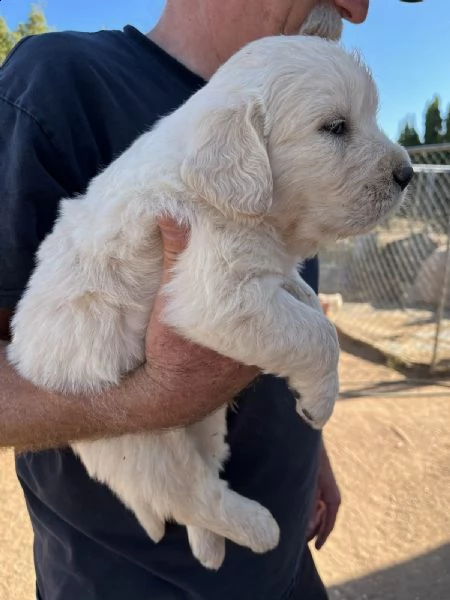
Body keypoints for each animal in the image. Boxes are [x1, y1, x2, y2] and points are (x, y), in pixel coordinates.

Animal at [8, 35, 414, 568]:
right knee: (191, 496)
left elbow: (303, 296)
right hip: (139, 441)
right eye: (335, 127)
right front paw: (321, 400)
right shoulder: (218, 294)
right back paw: (257, 529)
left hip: (201, 424)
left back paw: (210, 544)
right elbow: (319, 335)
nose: (407, 174)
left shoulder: (266, 268)